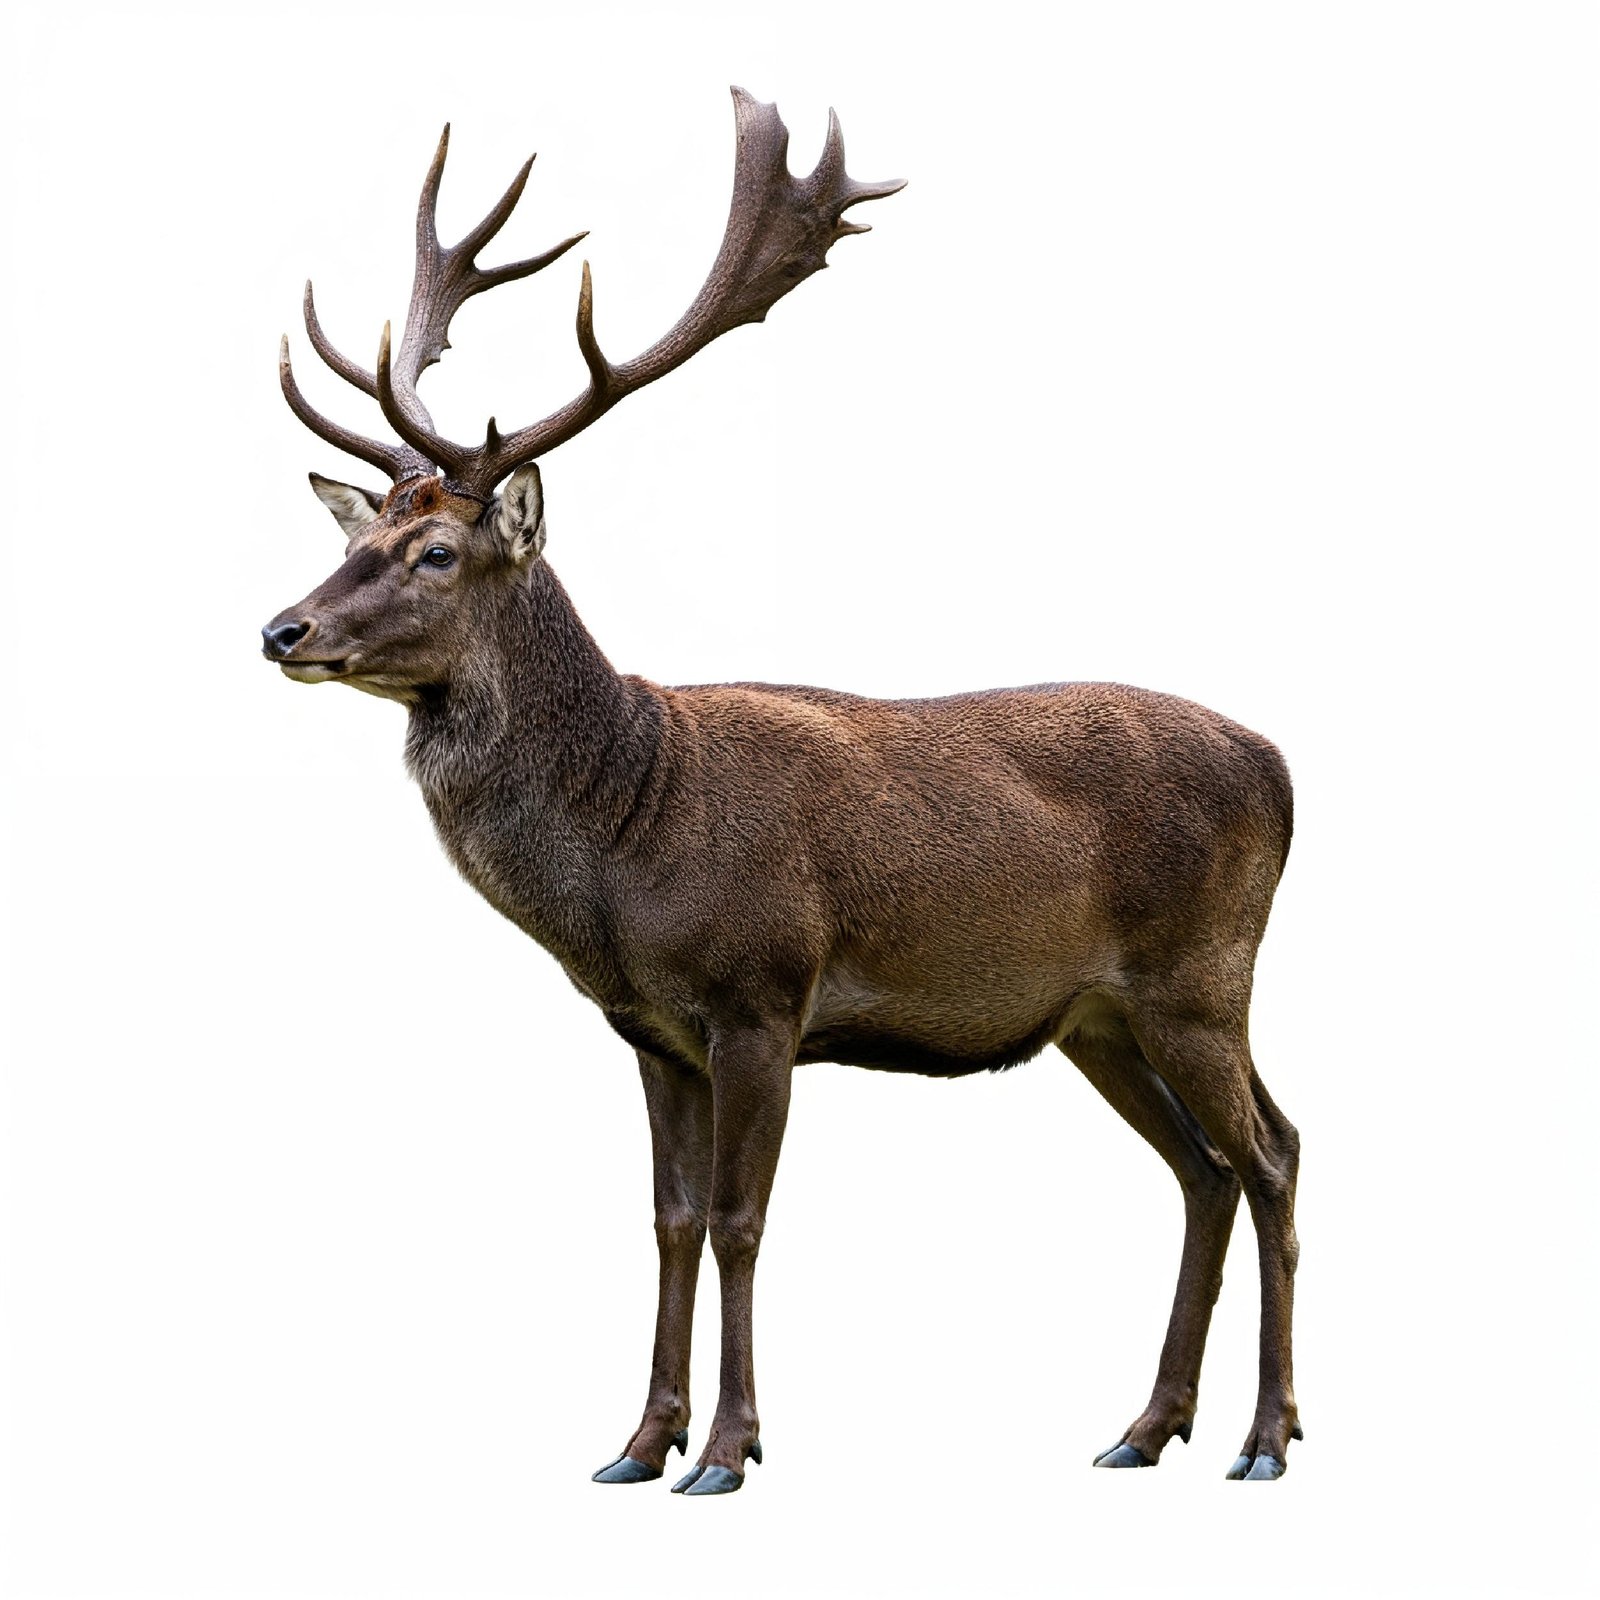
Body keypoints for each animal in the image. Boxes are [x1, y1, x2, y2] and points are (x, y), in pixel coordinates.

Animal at [263, 89, 1302, 1495]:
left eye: (432, 549)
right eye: (352, 533)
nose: (282, 629)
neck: (624, 848)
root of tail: (1284, 767)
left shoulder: (762, 991)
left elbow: (742, 1220)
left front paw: (728, 1449)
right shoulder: (649, 1028)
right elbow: (668, 1219)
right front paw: (637, 1442)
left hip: (1201, 974)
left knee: (1270, 1155)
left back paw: (1264, 1436)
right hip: (1098, 1017)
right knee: (1205, 1170)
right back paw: (1145, 1427)